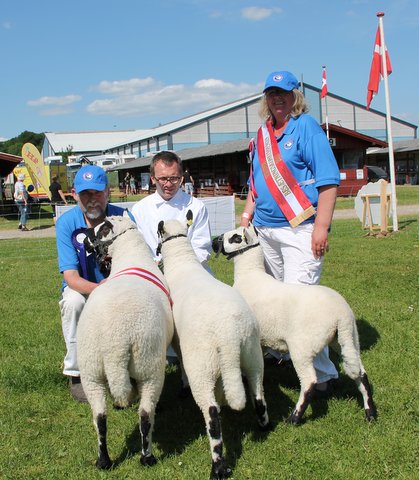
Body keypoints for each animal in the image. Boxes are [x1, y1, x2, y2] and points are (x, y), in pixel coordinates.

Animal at [76, 217, 174, 468]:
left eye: (99, 229)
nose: (85, 236)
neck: (131, 255)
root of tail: (115, 344)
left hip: (92, 372)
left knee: (100, 418)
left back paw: (104, 461)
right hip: (149, 368)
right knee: (146, 415)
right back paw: (147, 457)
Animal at [157, 213, 270, 480]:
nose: (216, 241)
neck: (182, 263)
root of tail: (229, 337)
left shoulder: (179, 344)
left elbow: (182, 368)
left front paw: (182, 389)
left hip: (203, 367)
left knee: (212, 415)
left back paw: (218, 466)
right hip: (252, 355)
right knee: (258, 395)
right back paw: (263, 425)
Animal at [213, 225, 378, 424]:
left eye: (234, 238)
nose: (213, 241)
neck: (250, 274)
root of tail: (341, 315)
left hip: (303, 347)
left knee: (309, 381)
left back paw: (295, 417)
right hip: (348, 339)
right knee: (361, 373)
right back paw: (370, 413)